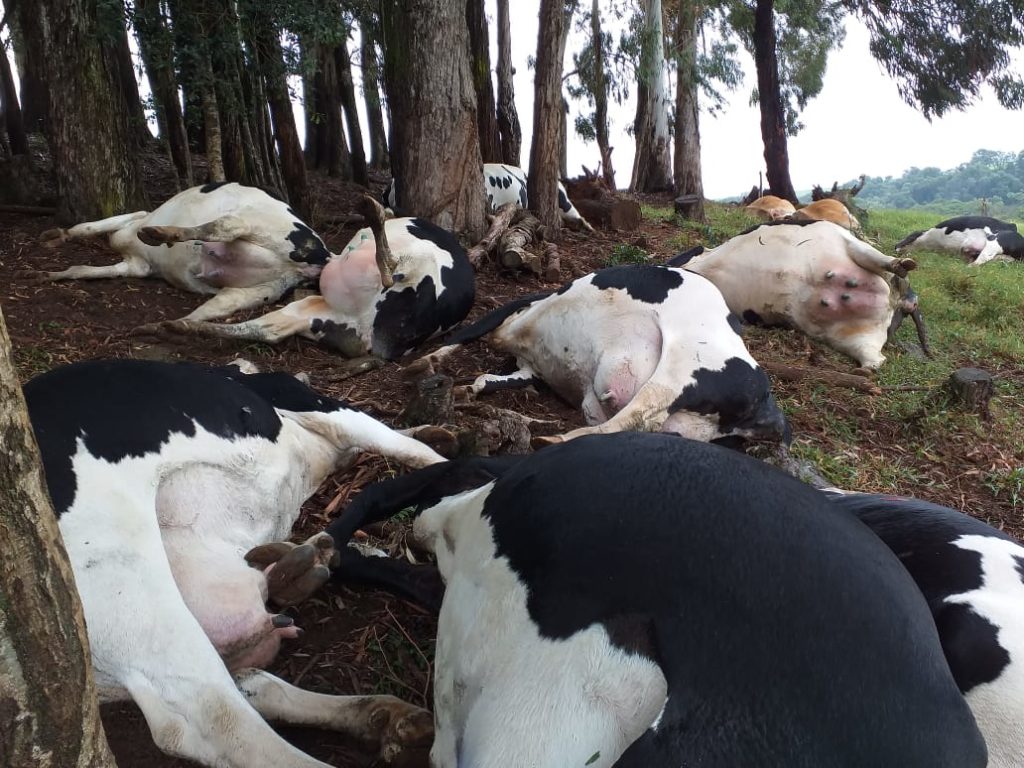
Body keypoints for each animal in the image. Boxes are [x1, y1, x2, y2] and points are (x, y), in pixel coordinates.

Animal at [24, 358, 448, 768]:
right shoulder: (319, 404)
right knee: (220, 720)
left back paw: (380, 714)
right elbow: (407, 447)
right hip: (123, 573)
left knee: (249, 686)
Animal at [33, 182, 334, 323]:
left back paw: (160, 233)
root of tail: (324, 256)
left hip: (261, 222)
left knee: (225, 225)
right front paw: (52, 274)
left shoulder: (134, 229)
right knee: (210, 309)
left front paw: (56, 237)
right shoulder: (136, 265)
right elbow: (88, 269)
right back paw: (167, 325)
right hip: (256, 290)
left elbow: (88, 226)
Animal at [409, 264, 789, 446]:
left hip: (682, 369)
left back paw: (555, 439)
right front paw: (466, 388)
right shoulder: (529, 368)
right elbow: (490, 379)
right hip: (685, 424)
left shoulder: (516, 316)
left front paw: (423, 362)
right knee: (642, 428)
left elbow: (470, 333)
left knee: (637, 415)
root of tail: (766, 401)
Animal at [670, 220, 927, 370]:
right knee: (874, 359)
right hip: (852, 337)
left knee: (882, 262)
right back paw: (864, 368)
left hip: (847, 241)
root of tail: (901, 302)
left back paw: (902, 265)